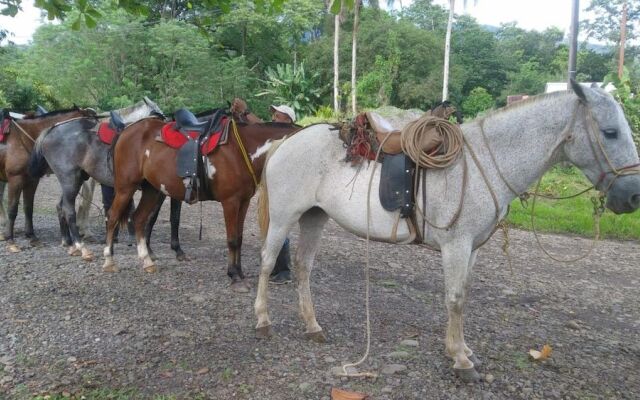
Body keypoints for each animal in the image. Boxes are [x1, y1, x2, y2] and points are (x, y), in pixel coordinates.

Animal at [0, 106, 97, 250]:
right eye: (90, 124)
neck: (23, 139)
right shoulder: (15, 179)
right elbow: (12, 209)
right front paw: (11, 240)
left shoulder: (32, 180)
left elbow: (28, 208)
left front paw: (32, 237)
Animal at [28, 99, 185, 262]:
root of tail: (51, 130)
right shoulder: (160, 191)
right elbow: (156, 217)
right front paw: (155, 248)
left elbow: (169, 217)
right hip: (70, 180)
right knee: (69, 210)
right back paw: (81, 247)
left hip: (74, 181)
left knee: (61, 206)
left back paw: (68, 241)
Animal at [103, 111, 300, 292]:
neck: (241, 149)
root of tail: (126, 130)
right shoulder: (230, 202)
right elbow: (232, 239)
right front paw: (234, 276)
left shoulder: (243, 202)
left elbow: (240, 238)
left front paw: (240, 272)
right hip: (125, 188)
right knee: (112, 218)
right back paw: (109, 261)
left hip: (152, 190)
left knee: (139, 219)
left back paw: (147, 261)